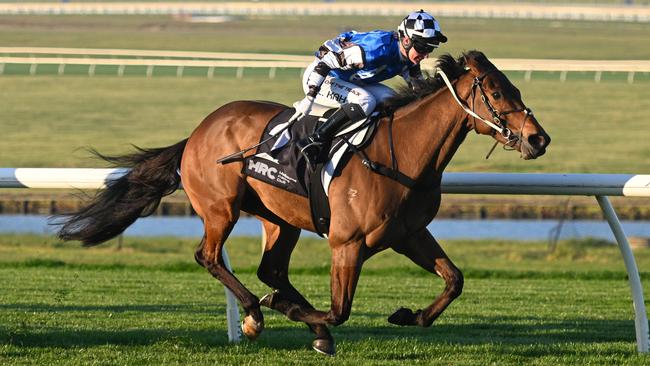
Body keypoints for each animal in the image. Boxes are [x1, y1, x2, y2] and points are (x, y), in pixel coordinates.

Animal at [58, 50, 548, 354]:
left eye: (515, 88)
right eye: (497, 92)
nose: (538, 139)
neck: (400, 154)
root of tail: (197, 132)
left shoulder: (407, 233)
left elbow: (454, 280)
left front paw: (410, 315)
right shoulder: (347, 242)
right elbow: (339, 309)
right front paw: (291, 312)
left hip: (281, 218)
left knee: (270, 269)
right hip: (221, 207)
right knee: (210, 256)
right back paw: (255, 313)